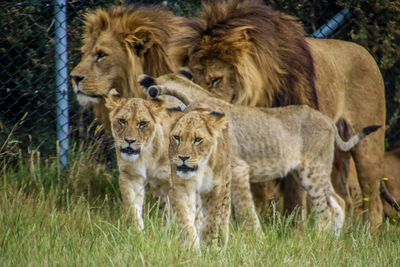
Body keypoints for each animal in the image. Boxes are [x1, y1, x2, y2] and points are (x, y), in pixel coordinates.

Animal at [170, 0, 386, 228]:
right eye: (189, 77)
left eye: (216, 80)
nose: (196, 109)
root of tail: (365, 52)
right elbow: (256, 193)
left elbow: (294, 195)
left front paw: (295, 230)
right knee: (343, 199)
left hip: (367, 149)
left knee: (372, 198)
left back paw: (369, 231)